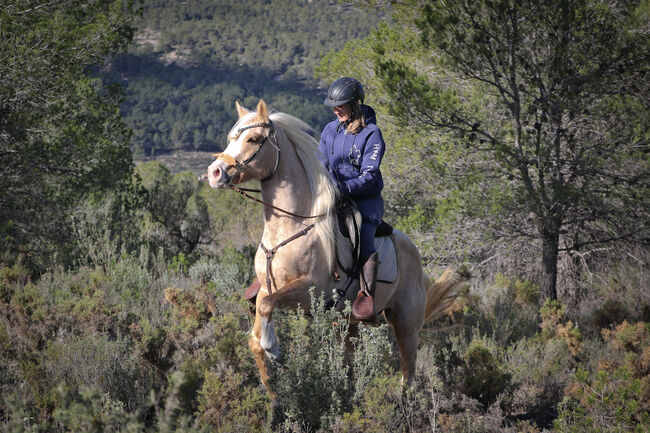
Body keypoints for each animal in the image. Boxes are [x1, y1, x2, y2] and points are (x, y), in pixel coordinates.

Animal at [208, 99, 460, 394]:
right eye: (230, 138)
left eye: (254, 139)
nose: (214, 172)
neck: (290, 226)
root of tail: (413, 249)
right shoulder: (269, 289)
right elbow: (256, 333)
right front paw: (272, 391)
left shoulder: (309, 291)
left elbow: (268, 312)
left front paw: (275, 349)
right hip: (352, 323)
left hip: (405, 321)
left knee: (408, 366)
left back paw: (403, 398)